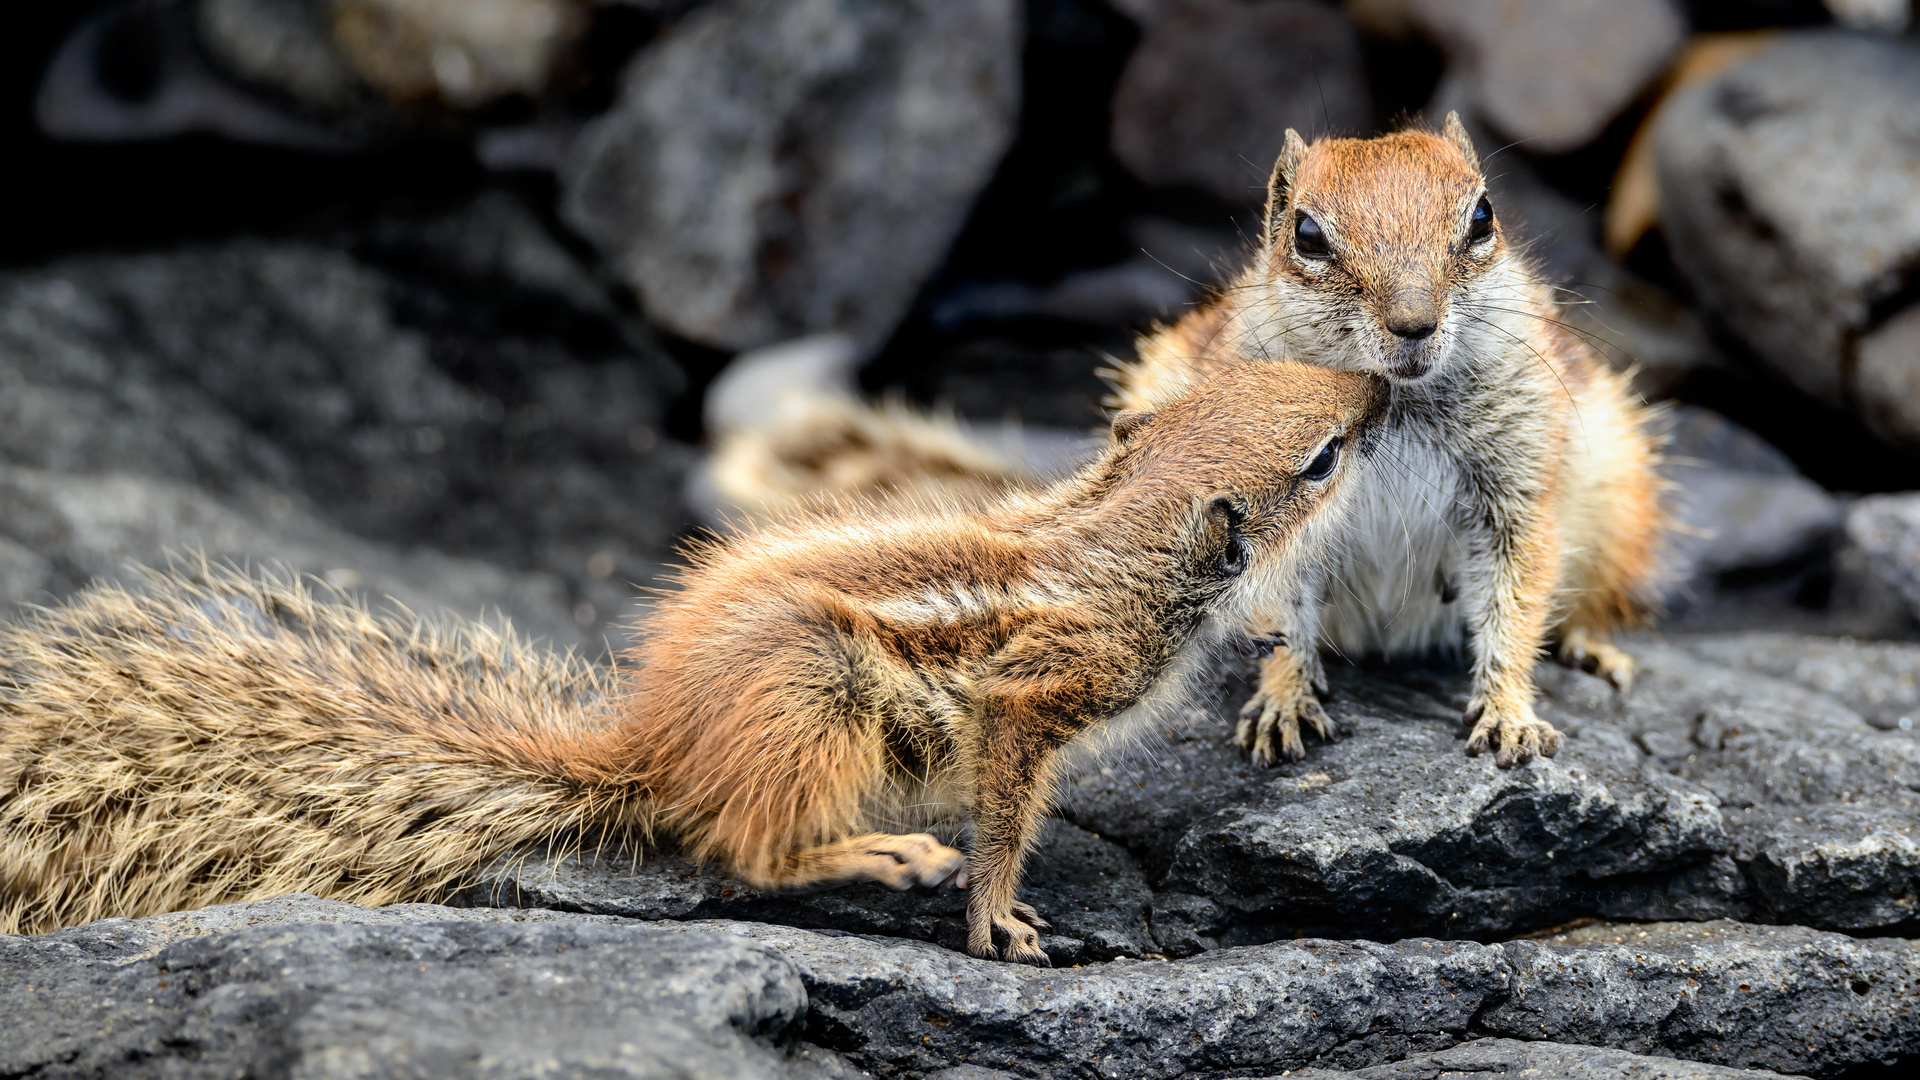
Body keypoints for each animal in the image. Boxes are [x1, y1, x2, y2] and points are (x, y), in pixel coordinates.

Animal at [0, 361, 1382, 957]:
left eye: (1285, 372)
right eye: (1322, 455)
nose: (1379, 391)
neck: (1118, 531)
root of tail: (648, 745)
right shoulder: (1039, 691)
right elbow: (1004, 805)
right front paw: (995, 909)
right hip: (819, 699)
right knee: (742, 851)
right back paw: (879, 854)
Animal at [714, 113, 1674, 768]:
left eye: (1482, 218)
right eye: (1308, 235)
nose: (1414, 323)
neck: (1391, 404)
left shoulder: (1518, 486)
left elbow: (1516, 596)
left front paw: (1511, 711)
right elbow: (1282, 609)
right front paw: (1283, 700)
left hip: (1617, 485)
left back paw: (1591, 643)